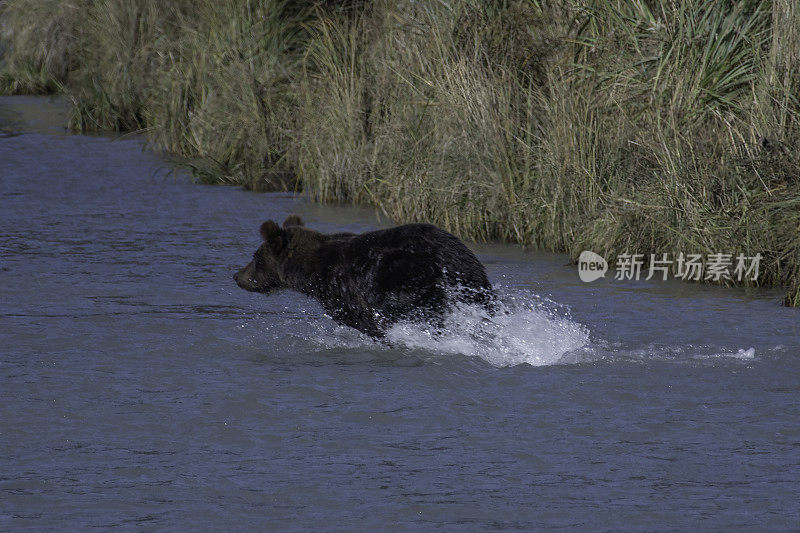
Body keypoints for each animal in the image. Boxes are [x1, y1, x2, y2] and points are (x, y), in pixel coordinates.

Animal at [231, 214, 494, 334]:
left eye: (256, 257)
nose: (237, 276)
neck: (311, 274)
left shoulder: (344, 291)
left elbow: (364, 321)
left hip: (409, 277)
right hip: (473, 279)